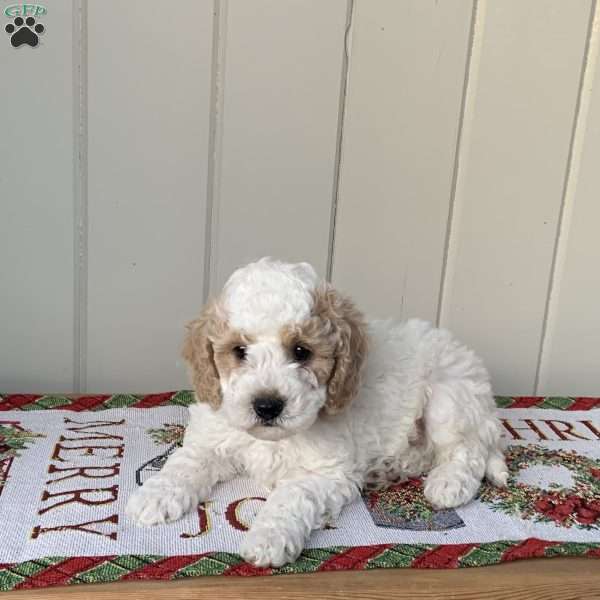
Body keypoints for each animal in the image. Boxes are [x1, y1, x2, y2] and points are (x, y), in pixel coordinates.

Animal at [126, 258, 506, 568]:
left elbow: (289, 497)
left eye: (301, 351)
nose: (267, 405)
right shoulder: (213, 438)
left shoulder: (325, 473)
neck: (273, 440)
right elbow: (186, 462)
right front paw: (155, 495)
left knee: (467, 449)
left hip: (449, 398)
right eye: (239, 350)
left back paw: (448, 483)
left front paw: (267, 538)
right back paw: (390, 468)